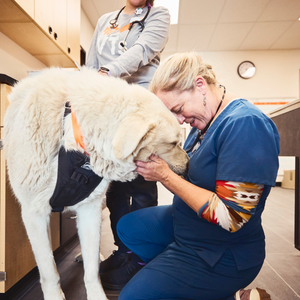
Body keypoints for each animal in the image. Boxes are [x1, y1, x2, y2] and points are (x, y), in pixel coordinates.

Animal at [3, 68, 189, 300]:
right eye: (173, 143)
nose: (189, 164)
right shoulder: (34, 214)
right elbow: (48, 269)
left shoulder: (90, 209)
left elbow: (91, 270)